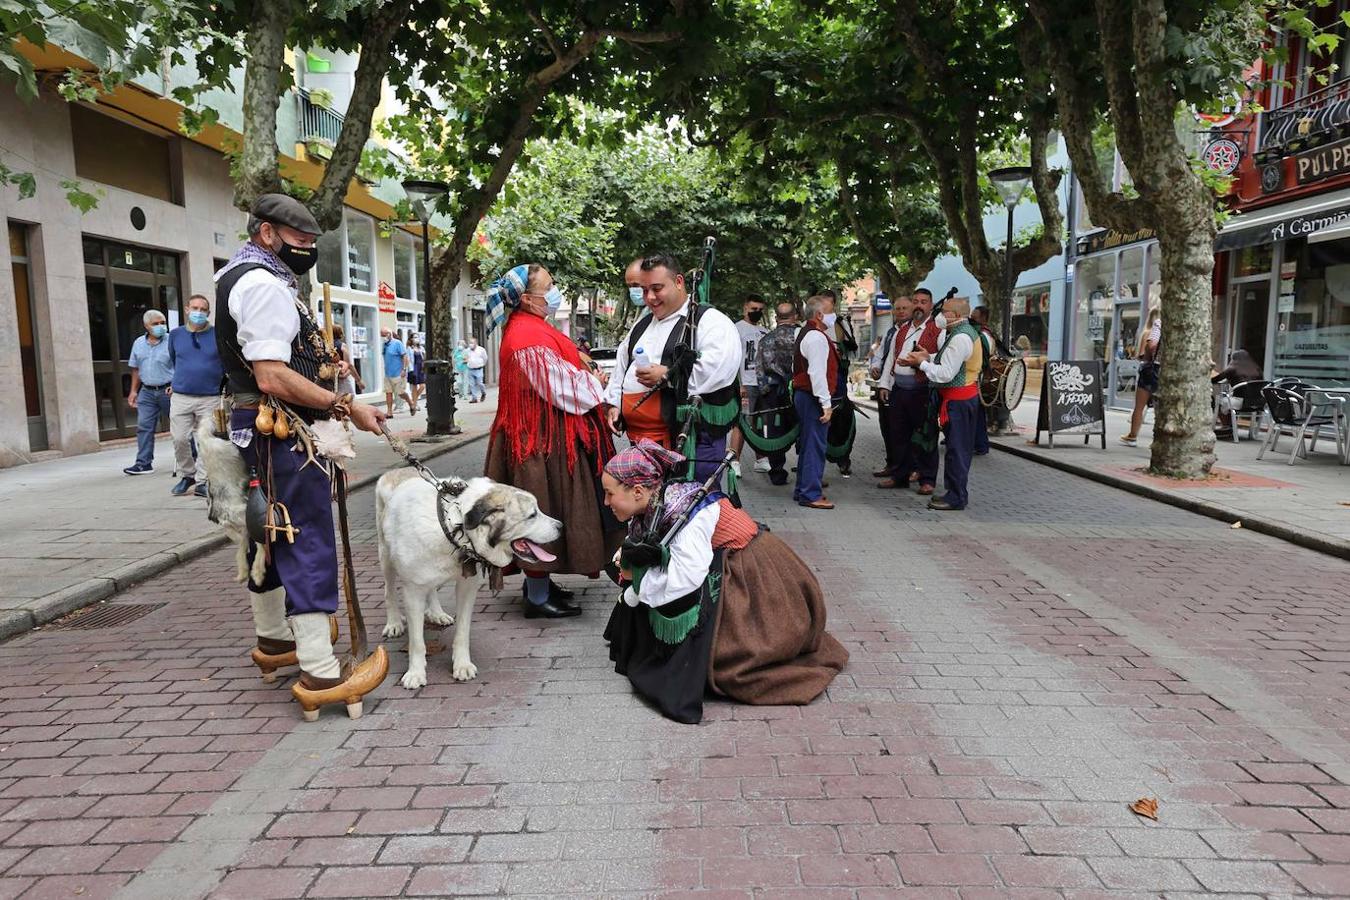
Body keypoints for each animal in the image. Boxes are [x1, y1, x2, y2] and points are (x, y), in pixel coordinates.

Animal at [375, 472, 558, 690]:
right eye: (532, 515)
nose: (561, 526)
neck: (452, 527)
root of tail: (396, 472)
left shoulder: (467, 586)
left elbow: (462, 631)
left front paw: (462, 665)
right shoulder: (413, 590)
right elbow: (417, 642)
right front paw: (415, 673)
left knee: (432, 589)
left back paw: (437, 614)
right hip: (385, 557)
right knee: (389, 591)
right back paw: (394, 623)